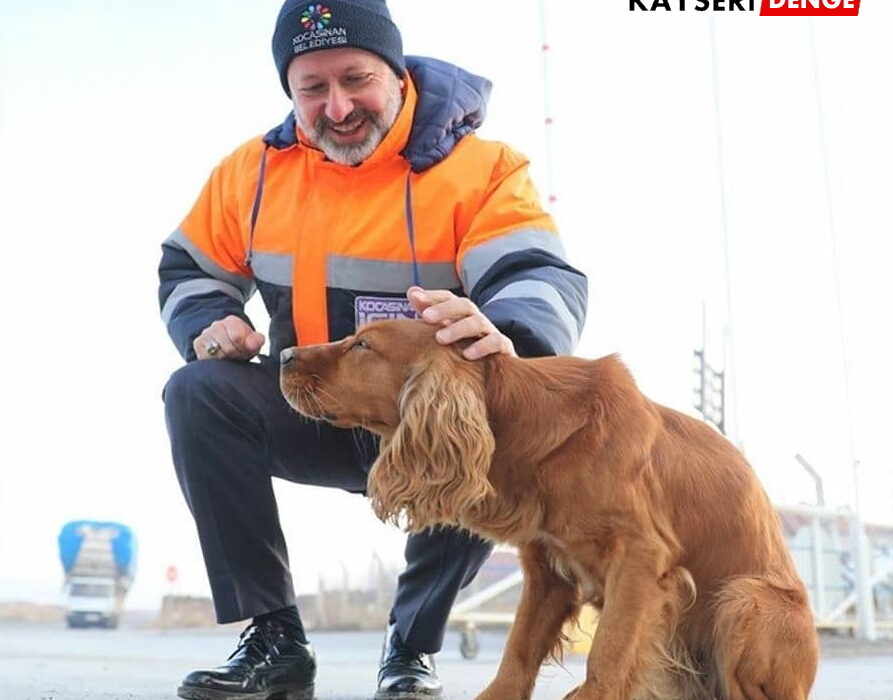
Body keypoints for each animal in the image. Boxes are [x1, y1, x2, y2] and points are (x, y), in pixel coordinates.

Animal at [278, 320, 816, 696]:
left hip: (745, 598)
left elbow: (607, 658)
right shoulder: (547, 571)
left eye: (362, 345)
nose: (282, 353)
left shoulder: (642, 561)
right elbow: (516, 656)